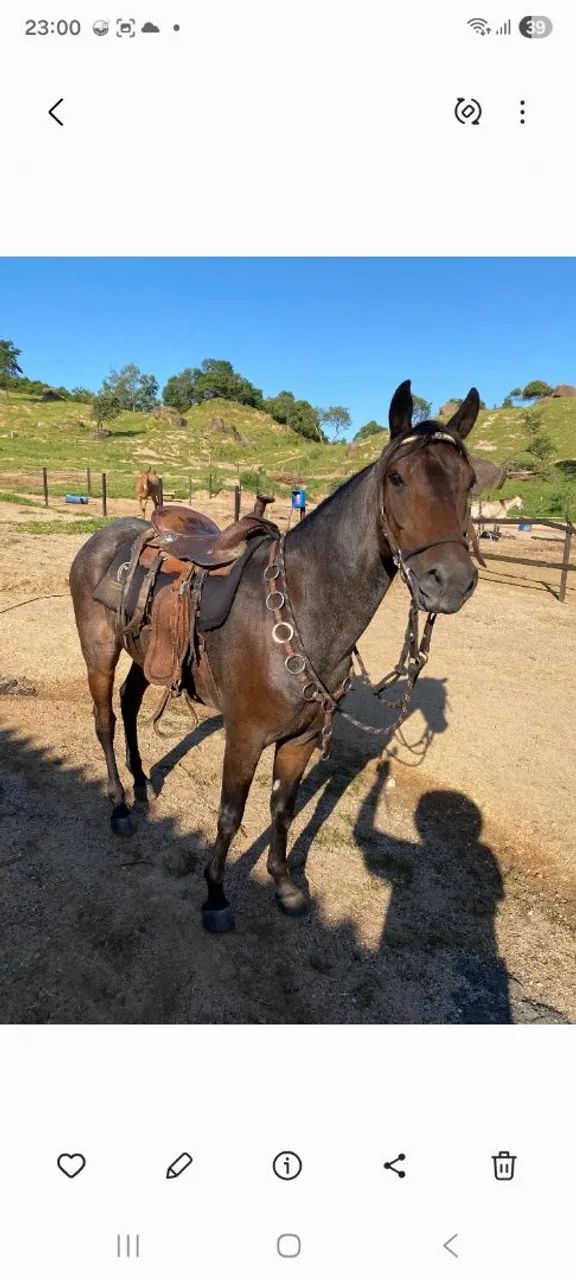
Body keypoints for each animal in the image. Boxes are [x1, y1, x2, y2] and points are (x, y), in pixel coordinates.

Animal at [70, 380, 480, 933]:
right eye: (397, 478)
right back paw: (118, 805)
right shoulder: (244, 736)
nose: (451, 580)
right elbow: (230, 813)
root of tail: (104, 537)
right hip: (100, 651)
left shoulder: (300, 741)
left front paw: (283, 882)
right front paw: (216, 895)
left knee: (131, 704)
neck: (300, 612)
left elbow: (282, 807)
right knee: (105, 719)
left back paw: (140, 784)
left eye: (469, 482)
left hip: (144, 655)